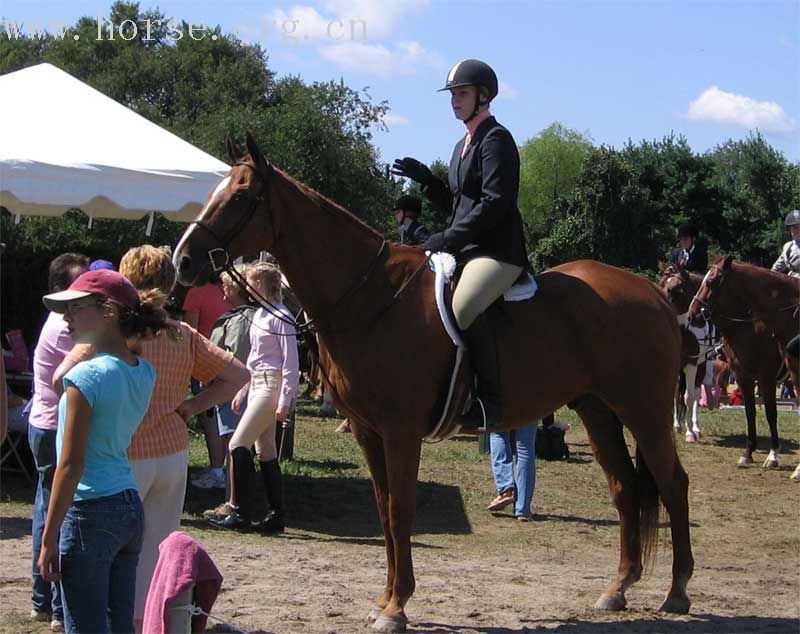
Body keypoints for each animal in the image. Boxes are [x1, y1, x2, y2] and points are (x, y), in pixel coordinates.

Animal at [173, 132, 692, 628]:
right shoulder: (368, 431)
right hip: (598, 409)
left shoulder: (401, 431)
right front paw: (384, 599)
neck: (369, 296)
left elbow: (401, 508)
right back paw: (618, 588)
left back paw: (677, 592)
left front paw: (397, 607)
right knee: (625, 487)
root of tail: (651, 293)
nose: (182, 261)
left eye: (240, 195)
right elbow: (384, 509)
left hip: (644, 411)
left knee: (672, 483)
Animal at [660, 264, 784, 466]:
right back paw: (678, 424)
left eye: (675, 289)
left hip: (701, 365)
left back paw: (695, 427)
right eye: (662, 283)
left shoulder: (693, 363)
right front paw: (677, 426)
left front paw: (690, 432)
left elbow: (689, 397)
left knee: (694, 394)